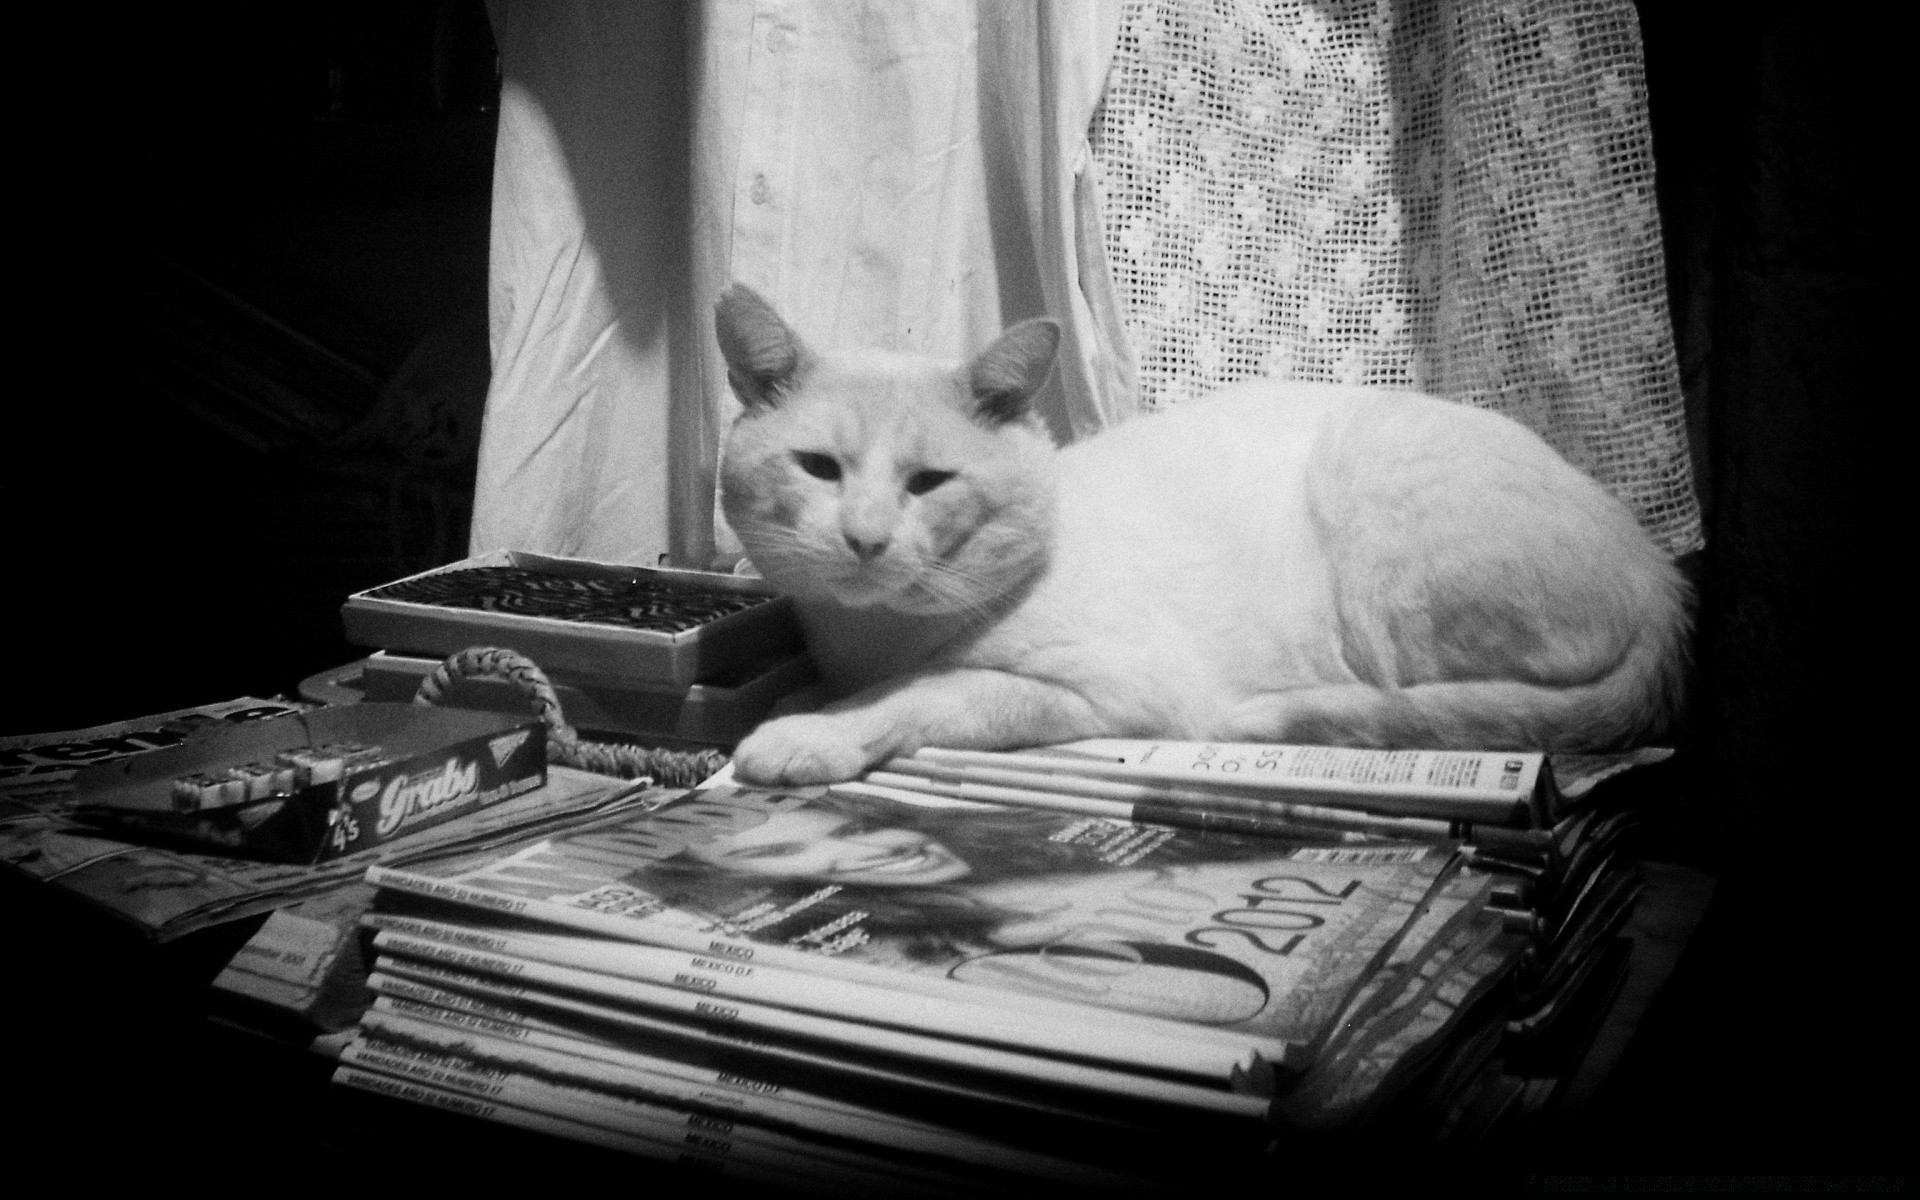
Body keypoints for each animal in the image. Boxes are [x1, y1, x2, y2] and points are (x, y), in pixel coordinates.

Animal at [714, 282, 1689, 787]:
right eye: (819, 469)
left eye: (928, 483)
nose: (866, 539)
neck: (864, 638)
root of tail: (1662, 577)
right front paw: (801, 698)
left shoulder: (1105, 689)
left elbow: (924, 691)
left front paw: (805, 732)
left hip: (1370, 483)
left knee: (1451, 708)